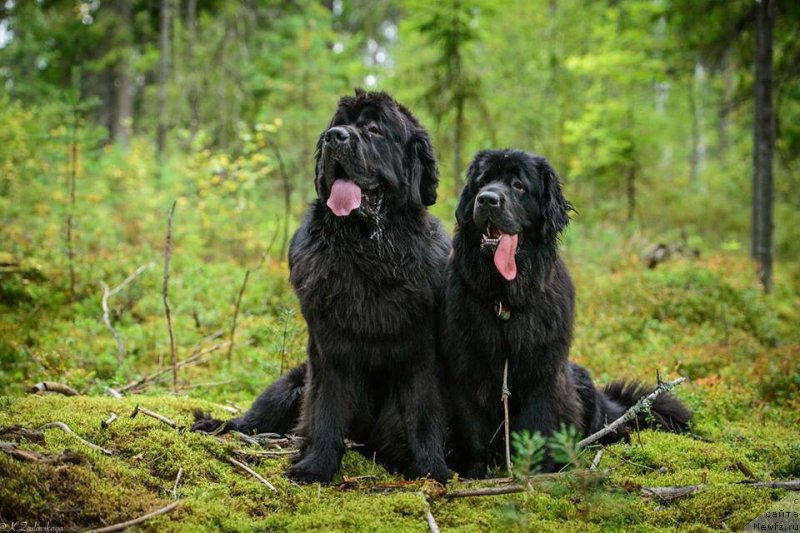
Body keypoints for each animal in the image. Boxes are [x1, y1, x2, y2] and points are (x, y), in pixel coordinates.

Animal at [194, 90, 454, 482]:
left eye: (375, 129)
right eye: (336, 125)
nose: (335, 137)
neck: (366, 250)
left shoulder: (419, 349)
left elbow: (423, 412)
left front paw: (433, 470)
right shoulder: (329, 346)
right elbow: (325, 410)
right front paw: (315, 466)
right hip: (289, 385)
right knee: (254, 418)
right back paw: (218, 425)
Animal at [440, 148, 692, 476]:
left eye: (518, 185)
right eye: (482, 182)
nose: (486, 199)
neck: (505, 300)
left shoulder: (545, 370)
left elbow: (539, 423)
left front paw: (537, 472)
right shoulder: (465, 369)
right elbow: (474, 432)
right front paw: (476, 474)